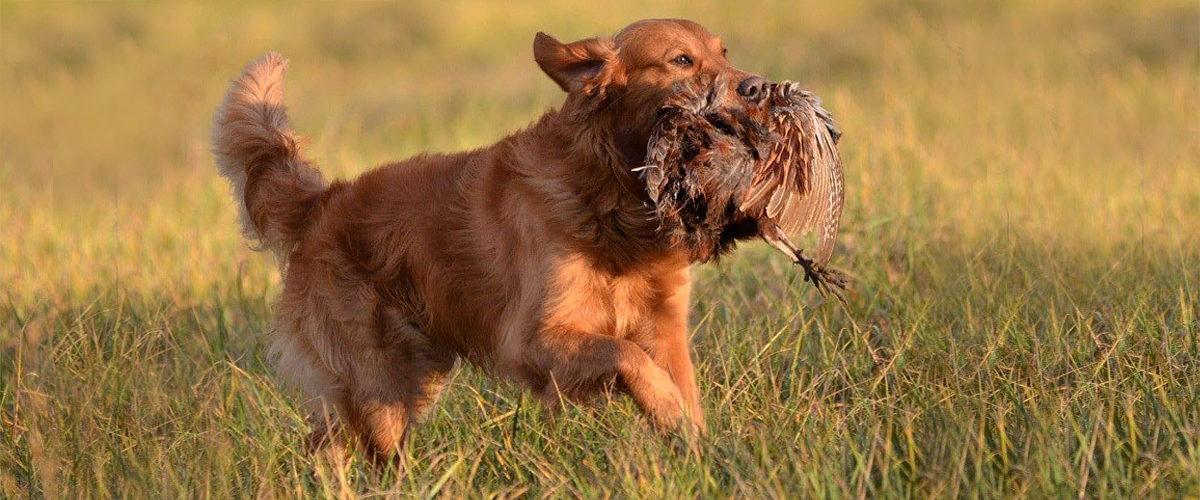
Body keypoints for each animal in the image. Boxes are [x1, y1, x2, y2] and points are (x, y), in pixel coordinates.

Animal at [212, 18, 772, 455]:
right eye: (681, 60)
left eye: (724, 53)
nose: (758, 88)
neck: (610, 193)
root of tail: (323, 201)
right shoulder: (532, 339)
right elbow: (625, 356)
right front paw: (667, 410)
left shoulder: (665, 325)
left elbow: (682, 388)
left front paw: (698, 450)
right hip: (374, 376)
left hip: (407, 374)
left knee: (325, 442)